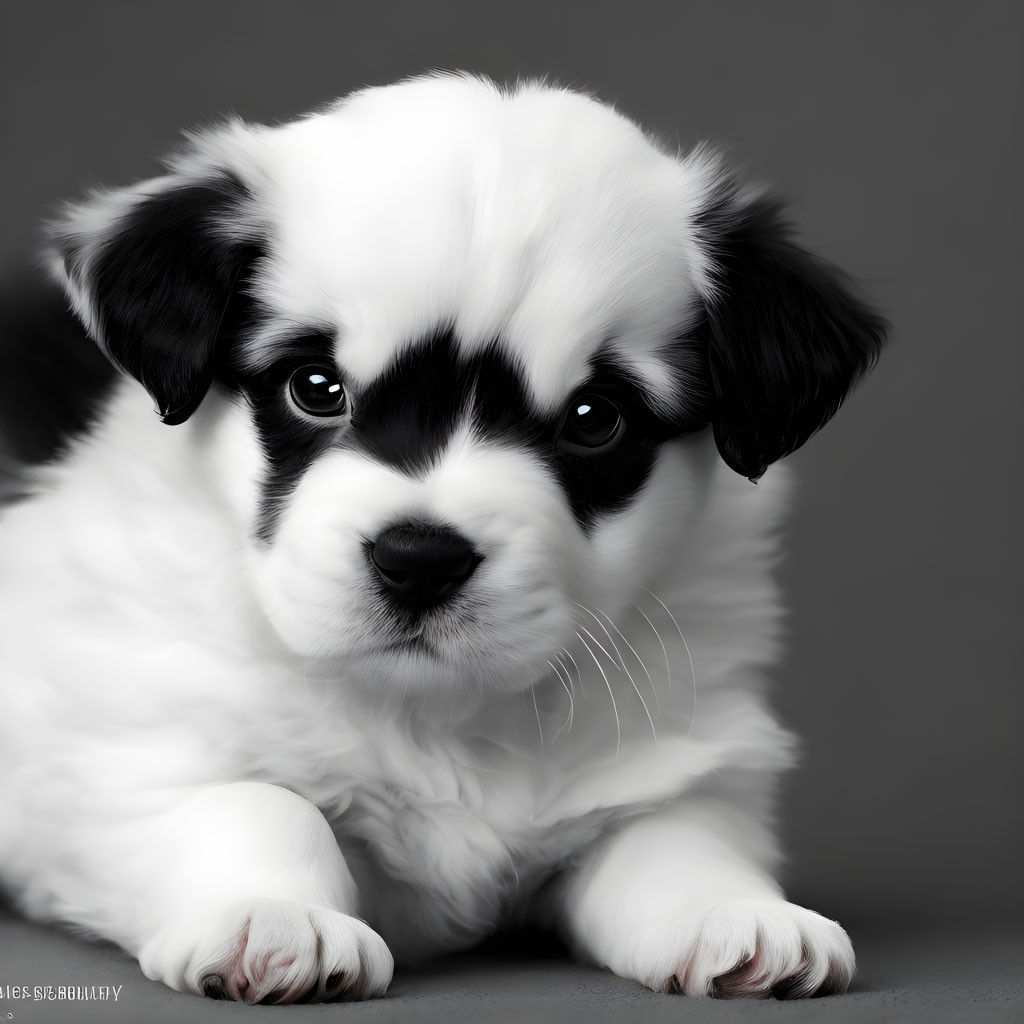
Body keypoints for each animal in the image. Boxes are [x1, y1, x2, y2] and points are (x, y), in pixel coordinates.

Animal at [0, 75, 884, 1003]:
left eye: (594, 419)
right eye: (316, 388)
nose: (419, 562)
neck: (437, 711)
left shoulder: (677, 756)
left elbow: (676, 838)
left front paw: (732, 912)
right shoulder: (126, 757)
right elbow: (257, 804)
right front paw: (275, 918)